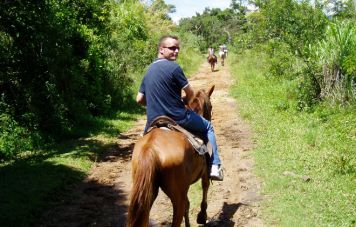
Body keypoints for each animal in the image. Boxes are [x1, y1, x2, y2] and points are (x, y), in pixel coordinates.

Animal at [126, 85, 214, 227]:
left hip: (147, 194)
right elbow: (205, 187)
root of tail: (150, 148)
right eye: (210, 106)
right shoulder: (205, 173)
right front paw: (202, 216)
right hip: (177, 197)